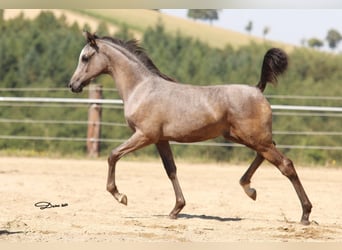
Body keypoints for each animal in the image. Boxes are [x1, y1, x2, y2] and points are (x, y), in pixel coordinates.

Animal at [68, 31, 312, 225]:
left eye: (85, 57)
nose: (73, 85)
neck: (142, 88)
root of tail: (258, 89)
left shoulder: (144, 135)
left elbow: (113, 155)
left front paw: (121, 196)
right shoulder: (161, 139)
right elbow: (171, 170)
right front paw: (176, 209)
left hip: (254, 138)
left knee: (286, 165)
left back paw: (305, 215)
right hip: (246, 137)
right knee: (266, 156)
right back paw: (249, 189)